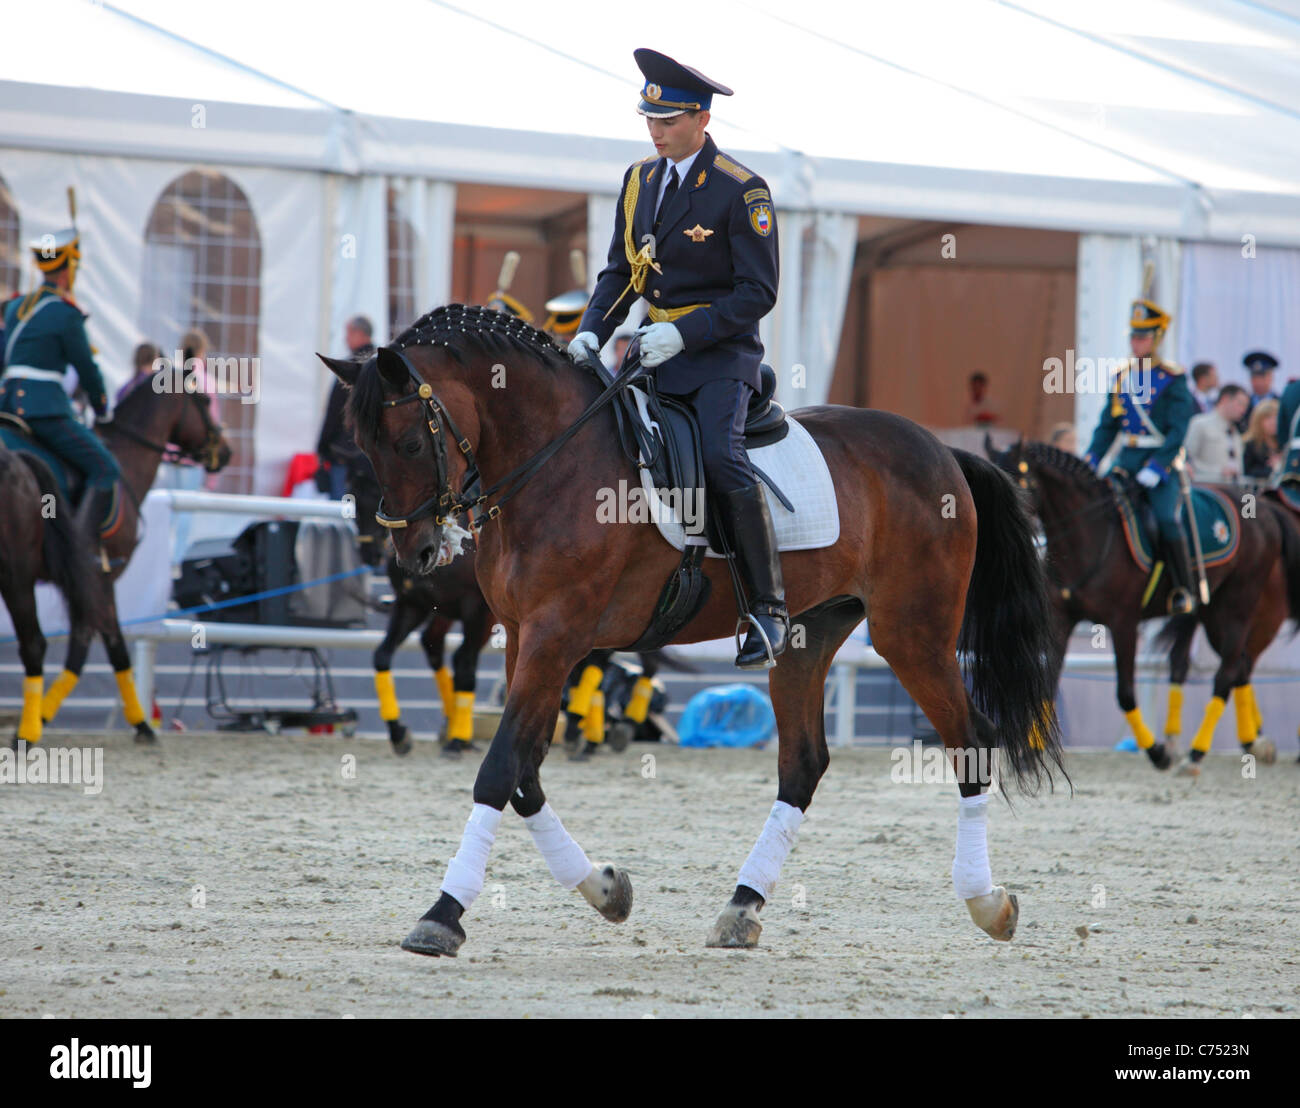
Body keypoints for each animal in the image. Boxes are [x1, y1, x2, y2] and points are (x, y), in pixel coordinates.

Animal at [319, 305, 1060, 962]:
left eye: (410, 442)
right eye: (364, 450)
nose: (414, 555)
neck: (554, 457)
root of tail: (940, 450)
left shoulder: (557, 635)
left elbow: (500, 768)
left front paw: (443, 915)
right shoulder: (522, 634)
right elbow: (524, 773)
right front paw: (605, 890)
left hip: (914, 634)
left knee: (972, 742)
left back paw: (987, 902)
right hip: (809, 633)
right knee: (803, 763)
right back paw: (742, 907)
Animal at [982, 436, 1300, 775]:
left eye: (1018, 482)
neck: (1090, 535)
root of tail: (1265, 508)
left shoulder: (1123, 623)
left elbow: (1125, 693)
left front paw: (1156, 752)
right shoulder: (1061, 621)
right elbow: (1047, 683)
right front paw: (1030, 755)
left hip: (1238, 609)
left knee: (1227, 671)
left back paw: (1197, 753)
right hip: (1210, 613)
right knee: (1231, 665)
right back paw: (1251, 742)